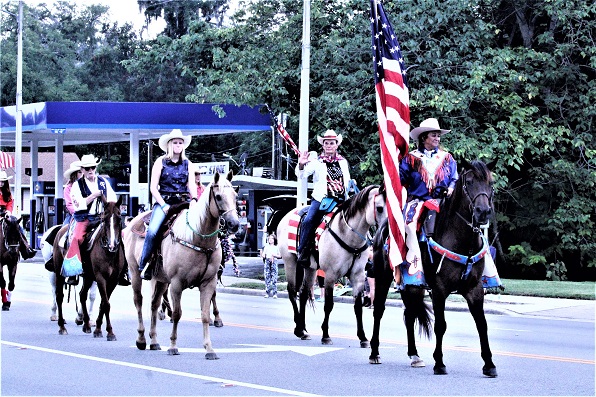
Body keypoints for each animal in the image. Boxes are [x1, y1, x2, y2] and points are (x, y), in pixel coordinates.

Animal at [124, 170, 240, 358]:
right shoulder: (177, 284)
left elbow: (205, 314)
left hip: (161, 280)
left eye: (235, 196)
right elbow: (178, 314)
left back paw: (154, 341)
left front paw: (209, 349)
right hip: (135, 273)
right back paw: (141, 339)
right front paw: (173, 346)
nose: (234, 224)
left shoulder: (208, 283)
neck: (198, 239)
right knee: (139, 301)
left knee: (154, 304)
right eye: (218, 196)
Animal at [278, 184, 388, 344]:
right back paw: (298, 328)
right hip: (290, 262)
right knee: (292, 291)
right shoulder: (330, 275)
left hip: (310, 268)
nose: (387, 231)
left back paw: (304, 330)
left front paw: (363, 337)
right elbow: (329, 304)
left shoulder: (358, 276)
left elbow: (358, 307)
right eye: (379, 208)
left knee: (304, 293)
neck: (349, 236)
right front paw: (325, 335)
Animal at [368, 159, 498, 376]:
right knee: (378, 310)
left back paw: (414, 355)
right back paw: (374, 352)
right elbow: (440, 325)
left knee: (410, 315)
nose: (483, 211)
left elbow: (482, 324)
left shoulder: (475, 289)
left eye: (491, 182)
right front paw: (439, 363)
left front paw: (489, 364)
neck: (462, 240)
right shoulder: (439, 289)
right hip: (382, 277)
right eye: (469, 182)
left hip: (412, 286)